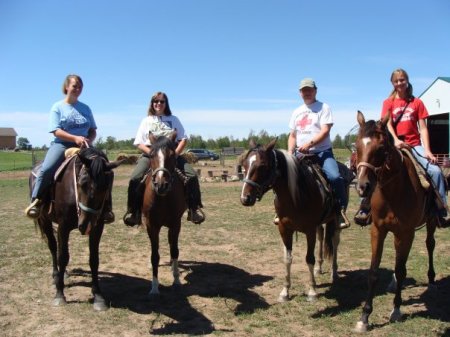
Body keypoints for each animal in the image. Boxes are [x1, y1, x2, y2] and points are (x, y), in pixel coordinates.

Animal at [29, 147, 121, 310]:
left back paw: (63, 273)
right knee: (53, 247)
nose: (85, 224)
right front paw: (60, 294)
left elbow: (94, 259)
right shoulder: (63, 227)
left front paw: (98, 296)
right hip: (44, 220)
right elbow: (63, 257)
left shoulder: (97, 227)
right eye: (82, 183)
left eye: (106, 187)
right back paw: (56, 276)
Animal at [141, 131, 186, 294]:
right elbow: (155, 255)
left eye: (172, 155)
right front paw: (154, 287)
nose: (161, 185)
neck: (163, 198)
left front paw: (177, 280)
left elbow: (174, 251)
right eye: (151, 155)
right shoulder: (151, 225)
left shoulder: (176, 224)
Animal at [241, 138, 350, 300]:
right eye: (244, 165)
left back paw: (334, 273)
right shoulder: (284, 229)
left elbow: (309, 258)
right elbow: (287, 259)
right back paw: (319, 268)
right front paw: (285, 291)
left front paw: (312, 291)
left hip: (336, 221)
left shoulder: (309, 230)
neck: (296, 195)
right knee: (321, 237)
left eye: (262, 166)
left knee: (335, 242)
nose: (245, 198)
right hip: (320, 224)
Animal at [354, 111, 438, 332]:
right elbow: (374, 272)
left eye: (381, 148)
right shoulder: (378, 230)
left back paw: (432, 278)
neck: (393, 192)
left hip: (431, 222)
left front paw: (397, 310)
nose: (363, 187)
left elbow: (400, 270)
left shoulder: (405, 232)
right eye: (356, 146)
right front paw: (364, 317)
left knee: (430, 244)